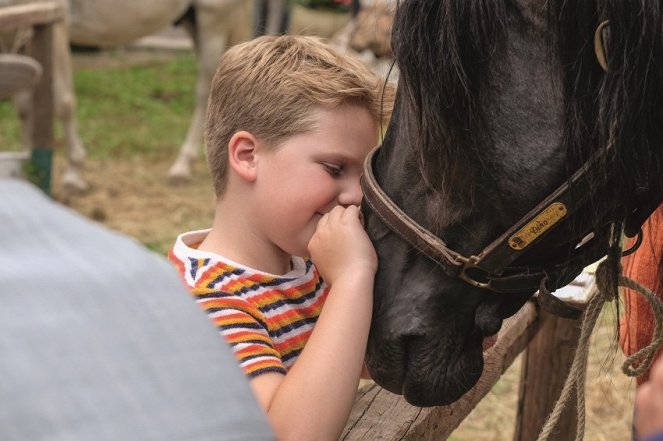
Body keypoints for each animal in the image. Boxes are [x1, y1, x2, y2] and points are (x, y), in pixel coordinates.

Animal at [5, 0, 254, 190]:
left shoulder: (56, 21)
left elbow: (63, 102)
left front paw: (74, 174)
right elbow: (24, 104)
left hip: (213, 21)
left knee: (206, 92)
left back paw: (181, 167)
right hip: (194, 22)